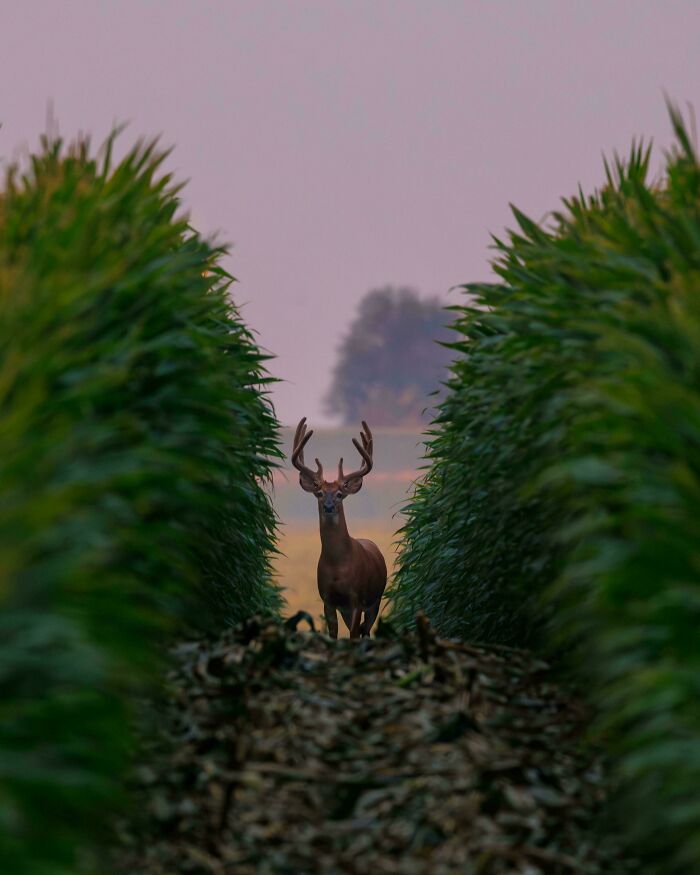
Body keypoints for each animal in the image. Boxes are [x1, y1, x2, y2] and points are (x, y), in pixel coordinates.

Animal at [291, 418, 387, 640]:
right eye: (319, 493)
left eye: (340, 494)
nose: (328, 506)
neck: (338, 565)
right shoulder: (327, 598)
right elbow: (333, 635)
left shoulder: (357, 598)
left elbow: (353, 634)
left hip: (375, 600)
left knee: (365, 631)